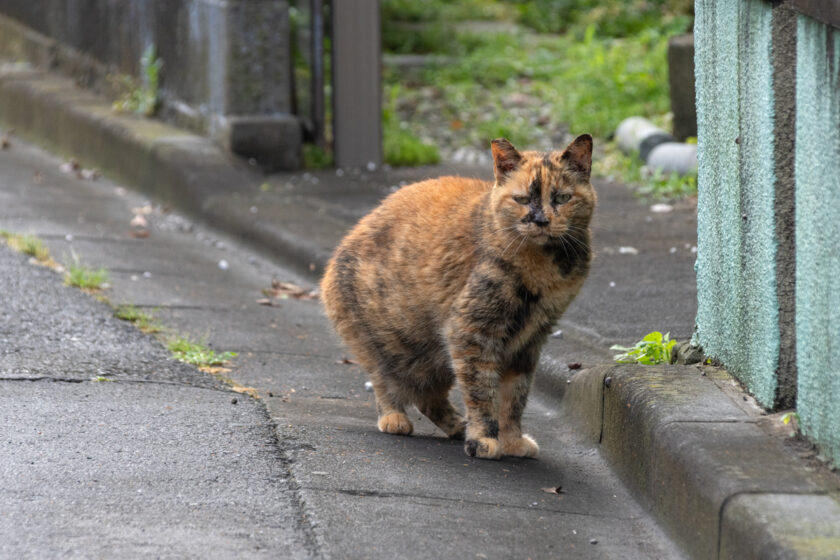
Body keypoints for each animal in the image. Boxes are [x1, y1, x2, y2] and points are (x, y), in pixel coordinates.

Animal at [322, 135, 596, 460]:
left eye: (563, 198)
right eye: (521, 200)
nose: (541, 221)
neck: (546, 271)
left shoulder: (530, 342)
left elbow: (515, 398)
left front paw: (512, 440)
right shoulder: (471, 330)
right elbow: (482, 393)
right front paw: (484, 439)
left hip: (438, 361)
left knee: (427, 397)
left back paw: (457, 426)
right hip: (394, 346)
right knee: (385, 380)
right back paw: (395, 418)